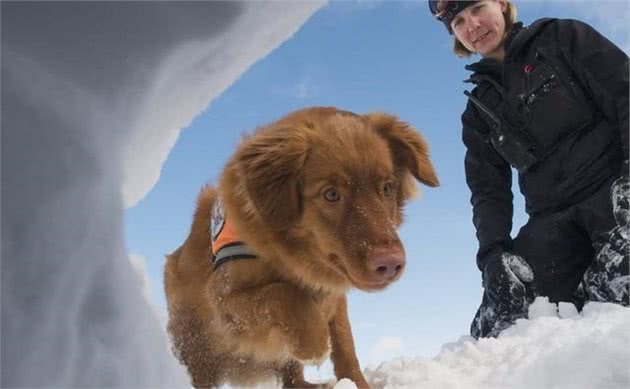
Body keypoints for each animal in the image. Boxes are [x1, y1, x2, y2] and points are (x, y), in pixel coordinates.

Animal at [164, 104, 440, 386]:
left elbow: (345, 347)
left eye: (387, 188)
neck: (296, 260)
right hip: (197, 345)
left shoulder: (334, 297)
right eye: (331, 194)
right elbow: (285, 293)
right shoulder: (223, 298)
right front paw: (313, 344)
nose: (391, 262)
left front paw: (356, 384)